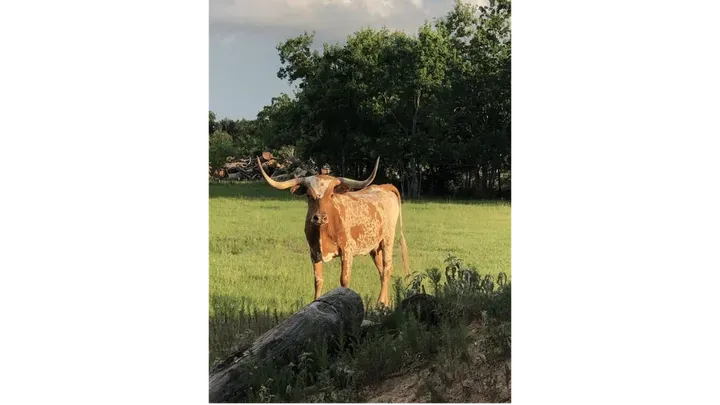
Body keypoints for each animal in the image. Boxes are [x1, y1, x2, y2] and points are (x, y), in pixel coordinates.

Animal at [256, 156, 408, 304]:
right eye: (309, 195)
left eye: (331, 195)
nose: (320, 217)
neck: (323, 230)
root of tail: (384, 186)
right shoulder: (314, 253)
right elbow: (318, 280)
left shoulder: (347, 251)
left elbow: (344, 280)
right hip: (374, 247)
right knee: (383, 271)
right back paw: (385, 304)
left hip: (387, 239)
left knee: (387, 269)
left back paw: (380, 303)